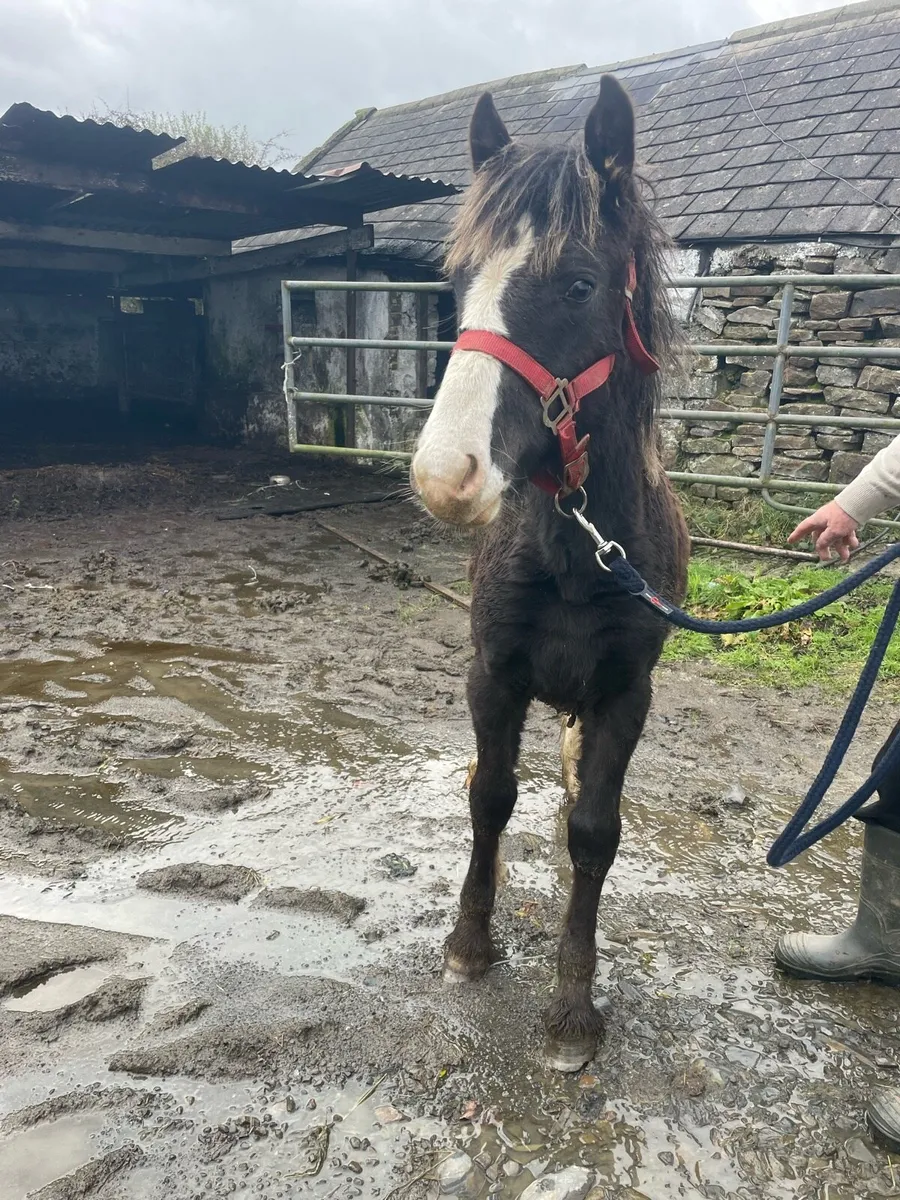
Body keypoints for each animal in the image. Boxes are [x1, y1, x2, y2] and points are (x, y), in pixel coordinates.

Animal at [410, 74, 690, 1072]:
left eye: (579, 284)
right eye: (458, 282)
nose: (443, 476)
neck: (577, 553)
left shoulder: (624, 696)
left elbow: (593, 834)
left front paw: (573, 1008)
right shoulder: (493, 674)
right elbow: (488, 799)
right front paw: (468, 944)